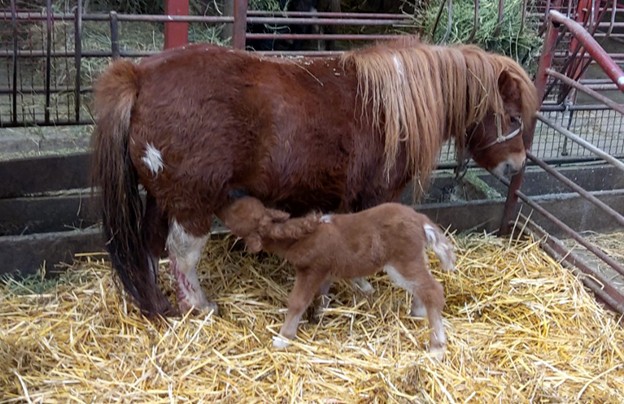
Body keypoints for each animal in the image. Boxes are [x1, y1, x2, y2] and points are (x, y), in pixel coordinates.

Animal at [91, 37, 538, 317]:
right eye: (513, 117)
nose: (517, 166)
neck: (392, 107)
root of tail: (139, 76)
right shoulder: (375, 195)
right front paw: (359, 288)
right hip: (192, 202)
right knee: (182, 254)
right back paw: (199, 306)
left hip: (162, 197)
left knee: (150, 246)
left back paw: (156, 303)